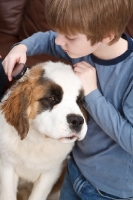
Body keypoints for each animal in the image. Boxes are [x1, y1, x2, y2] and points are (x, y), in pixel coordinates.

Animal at [0, 61, 87, 200]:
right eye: (52, 98)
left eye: (79, 101)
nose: (77, 121)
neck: (37, 140)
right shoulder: (6, 166)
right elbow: (7, 195)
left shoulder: (51, 173)